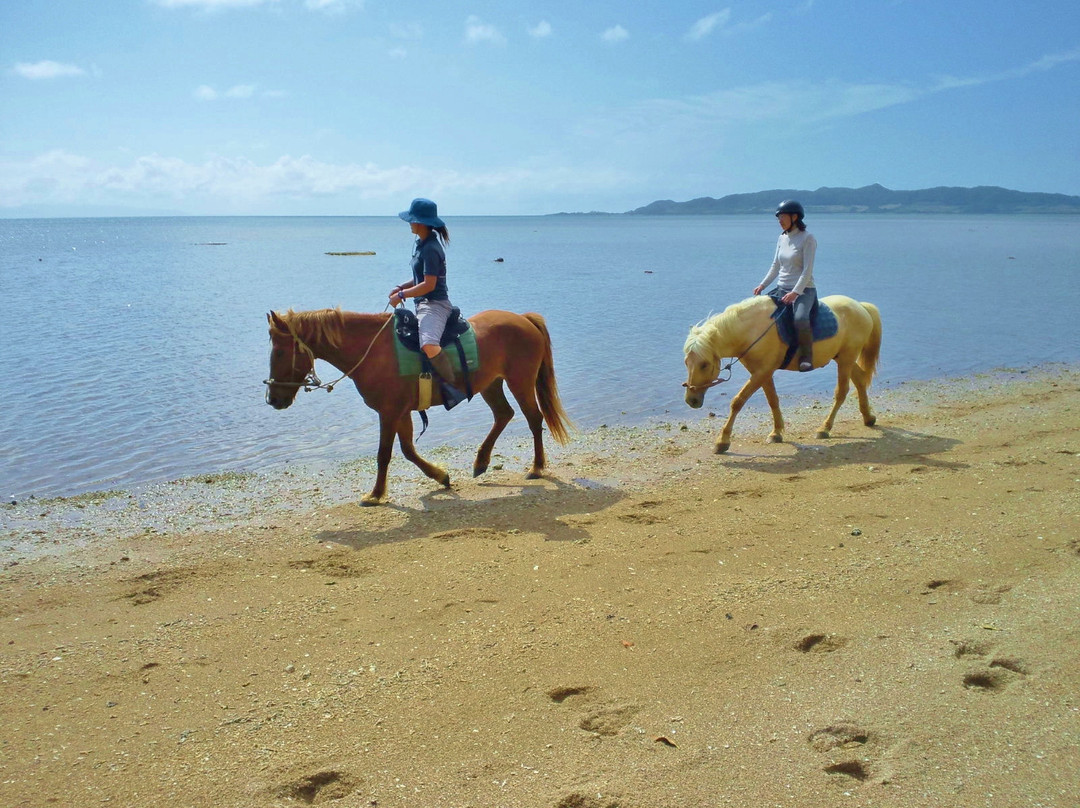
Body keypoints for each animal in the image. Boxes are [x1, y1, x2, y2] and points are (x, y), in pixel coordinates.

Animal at [263, 308, 574, 505]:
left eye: (279, 352)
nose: (273, 399)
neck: (373, 350)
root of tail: (523, 319)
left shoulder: (389, 413)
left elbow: (384, 455)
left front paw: (375, 495)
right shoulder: (401, 413)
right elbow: (409, 451)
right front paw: (441, 476)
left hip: (520, 382)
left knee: (534, 419)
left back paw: (536, 467)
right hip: (491, 384)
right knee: (503, 415)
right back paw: (481, 461)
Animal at [686, 295, 881, 453]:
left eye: (704, 364)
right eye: (687, 362)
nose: (691, 400)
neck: (753, 330)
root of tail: (861, 306)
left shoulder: (761, 372)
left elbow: (738, 402)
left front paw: (722, 441)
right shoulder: (762, 372)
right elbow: (773, 400)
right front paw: (776, 433)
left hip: (846, 359)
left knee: (841, 392)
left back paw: (824, 428)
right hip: (843, 358)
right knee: (860, 379)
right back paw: (868, 417)